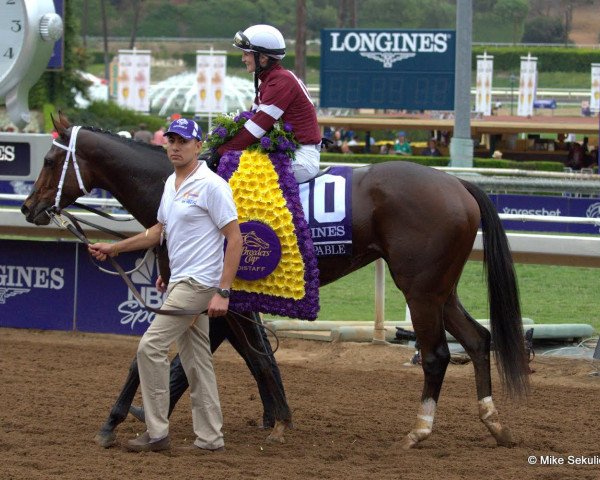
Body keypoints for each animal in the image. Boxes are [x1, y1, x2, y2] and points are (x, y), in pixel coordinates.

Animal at [22, 113, 528, 450]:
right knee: (478, 339)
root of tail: (458, 185)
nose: (29, 208)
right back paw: (495, 423)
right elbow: (252, 357)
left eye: (48, 159)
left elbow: (209, 359)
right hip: (440, 288)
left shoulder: (216, 298)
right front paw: (272, 416)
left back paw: (419, 430)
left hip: (419, 289)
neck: (178, 183)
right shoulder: (230, 305)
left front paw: (117, 419)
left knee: (438, 354)